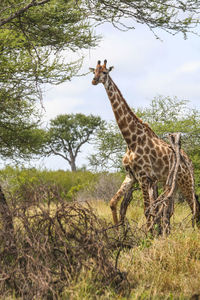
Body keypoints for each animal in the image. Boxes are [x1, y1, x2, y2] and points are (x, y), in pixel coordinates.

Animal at [89, 59, 200, 229]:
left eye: (105, 72)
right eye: (94, 71)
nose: (94, 81)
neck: (131, 141)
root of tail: (190, 162)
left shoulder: (143, 176)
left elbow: (147, 210)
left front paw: (147, 235)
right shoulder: (131, 176)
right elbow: (113, 203)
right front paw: (118, 232)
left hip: (185, 180)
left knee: (194, 207)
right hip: (174, 184)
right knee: (173, 209)